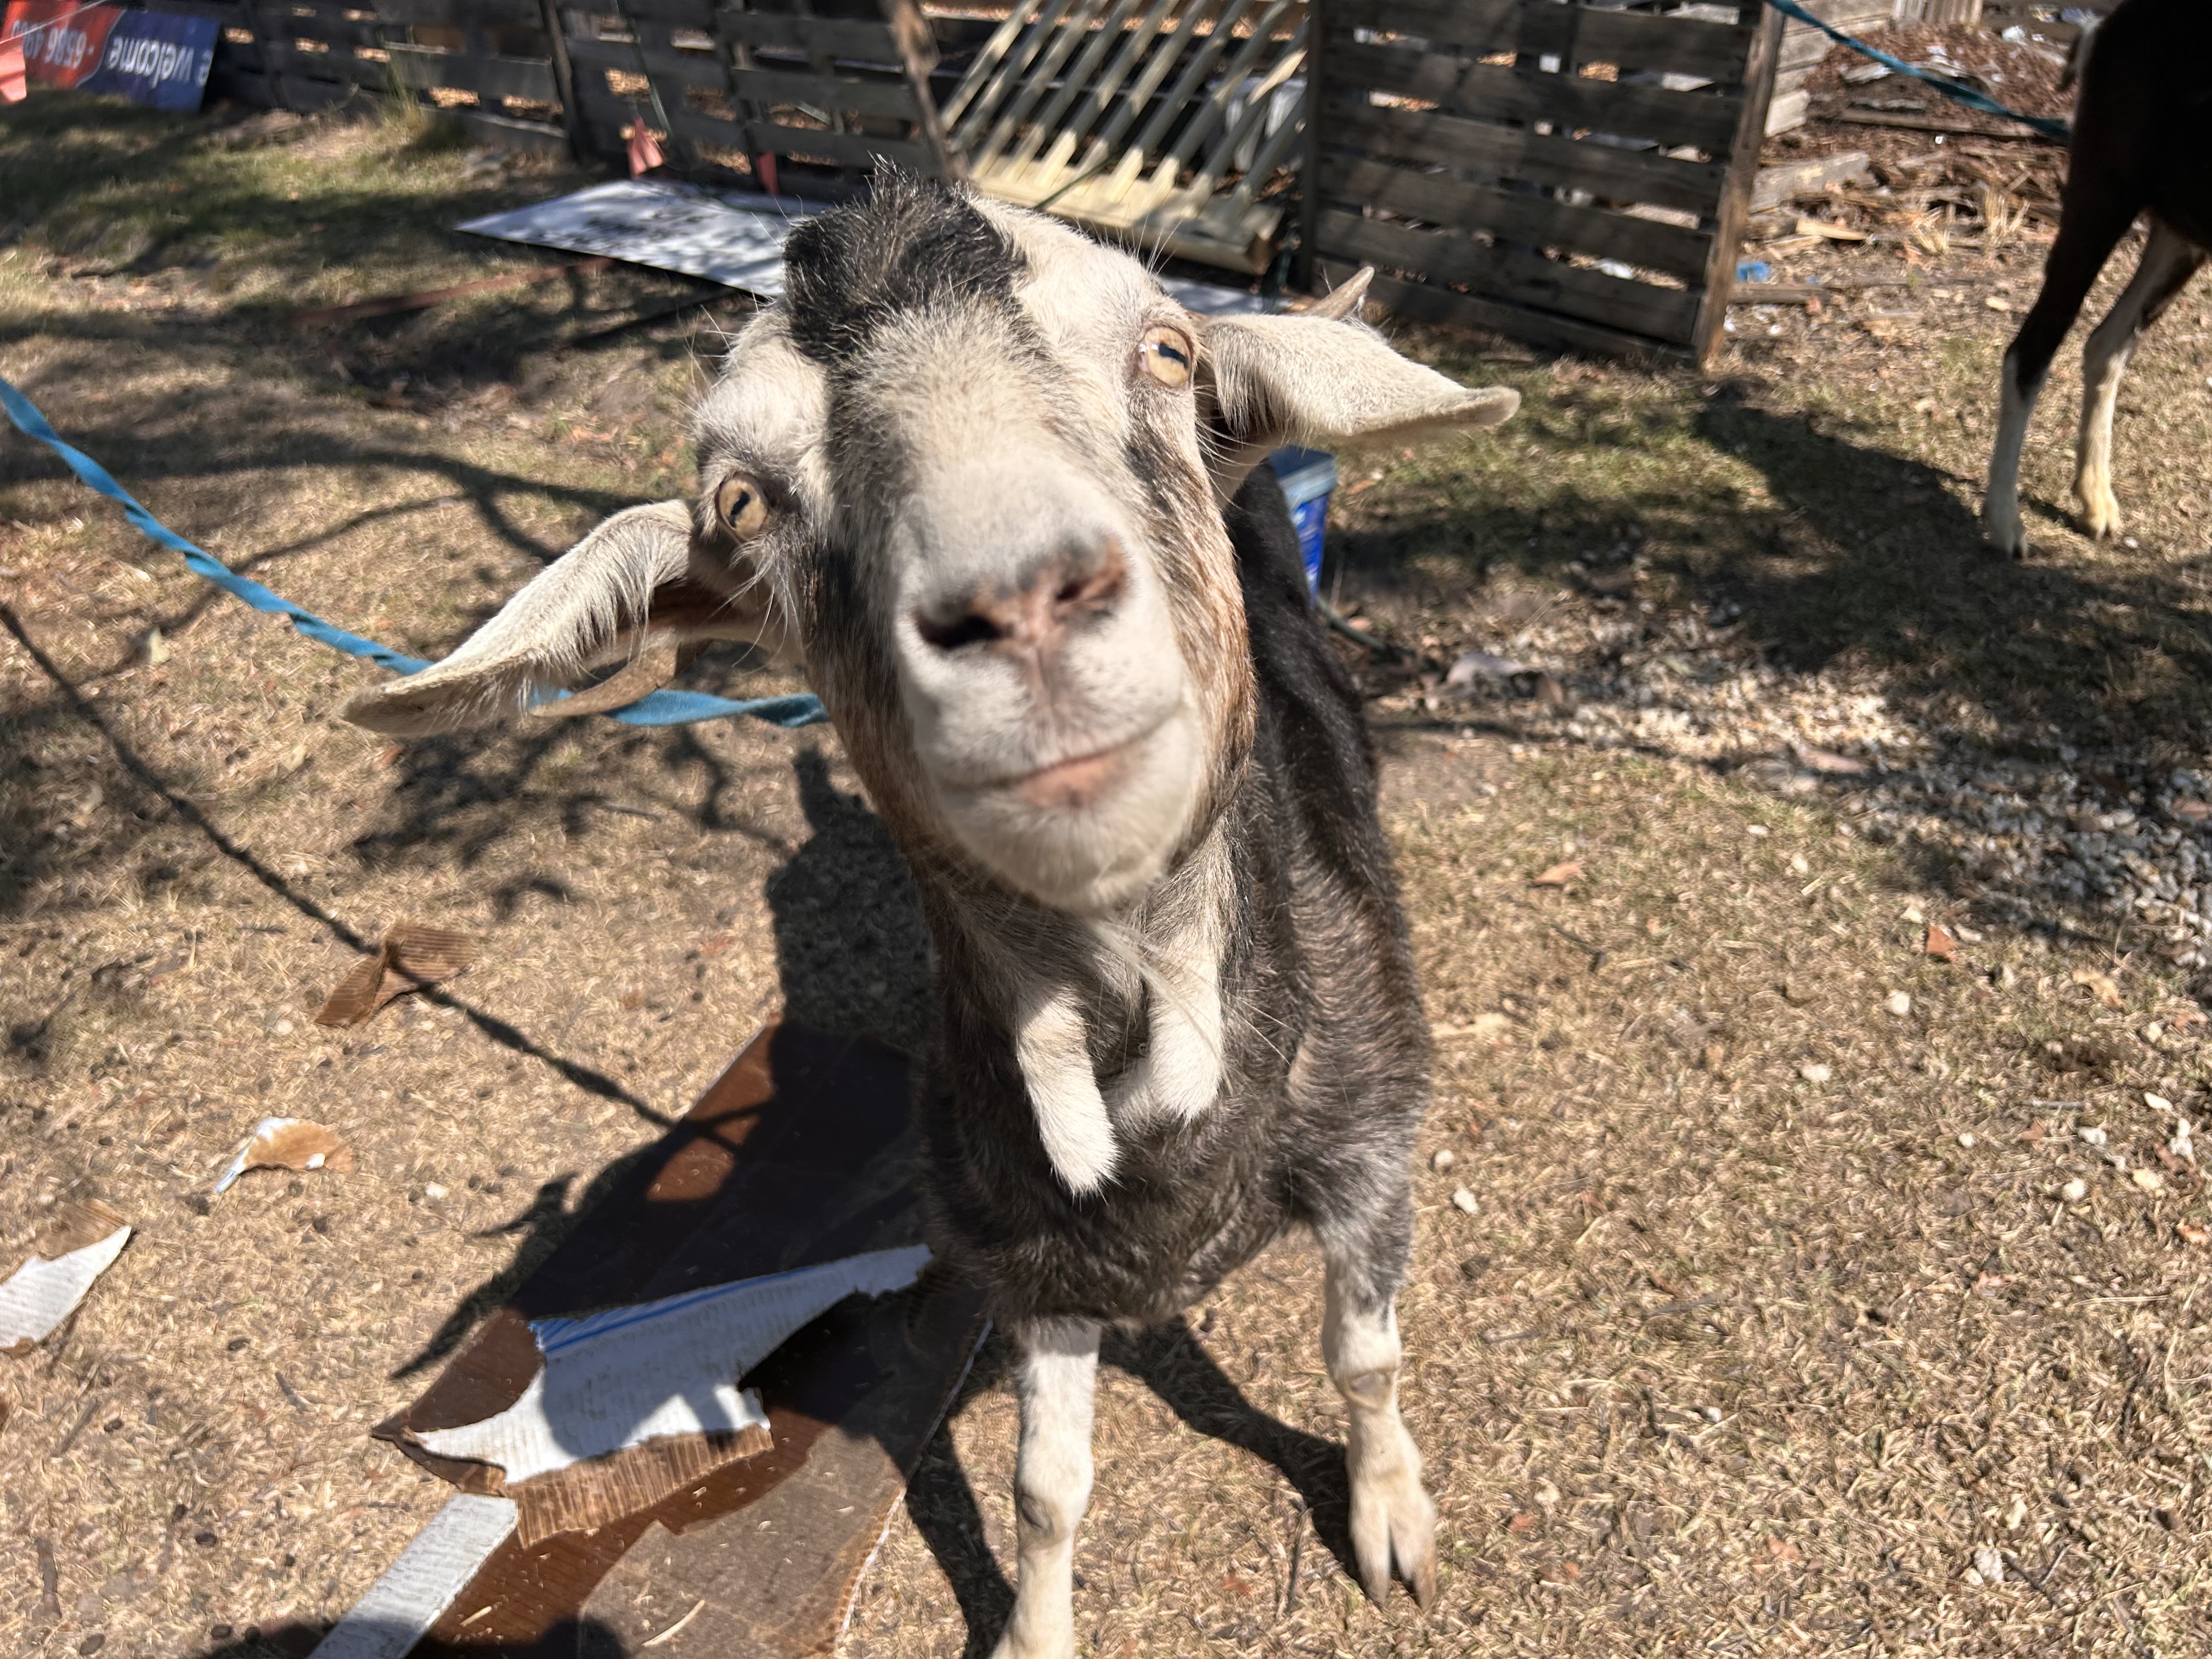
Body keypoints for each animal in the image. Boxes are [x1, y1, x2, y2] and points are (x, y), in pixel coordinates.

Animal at [342, 176, 1519, 1654]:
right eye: (743, 501)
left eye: (1168, 352)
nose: (1020, 602)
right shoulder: (1031, 1261)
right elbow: (1045, 1487)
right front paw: (1034, 1630)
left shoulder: (1374, 1141)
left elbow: (1365, 1352)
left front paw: (1391, 1519)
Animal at [1984, 0, 2210, 558]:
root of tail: (2109, 25)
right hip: (2103, 198)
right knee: (2032, 350)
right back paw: (2005, 522)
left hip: (2182, 231)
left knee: (2106, 344)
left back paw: (2095, 500)